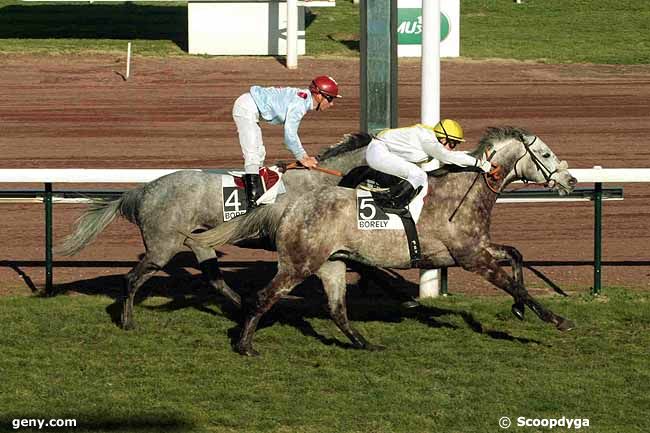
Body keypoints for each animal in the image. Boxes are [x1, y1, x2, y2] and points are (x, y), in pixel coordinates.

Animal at [55, 132, 370, 328]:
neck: (316, 183)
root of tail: (142, 191)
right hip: (162, 247)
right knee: (131, 279)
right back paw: (128, 321)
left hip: (198, 242)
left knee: (214, 279)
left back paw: (243, 305)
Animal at [190, 125, 576, 354]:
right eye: (545, 155)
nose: (570, 180)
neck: (462, 193)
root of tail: (291, 204)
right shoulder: (471, 258)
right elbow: (514, 283)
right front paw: (557, 319)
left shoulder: (476, 249)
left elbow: (516, 254)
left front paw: (519, 309)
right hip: (298, 264)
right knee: (263, 297)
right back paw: (244, 344)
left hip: (332, 264)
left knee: (336, 308)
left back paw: (366, 344)